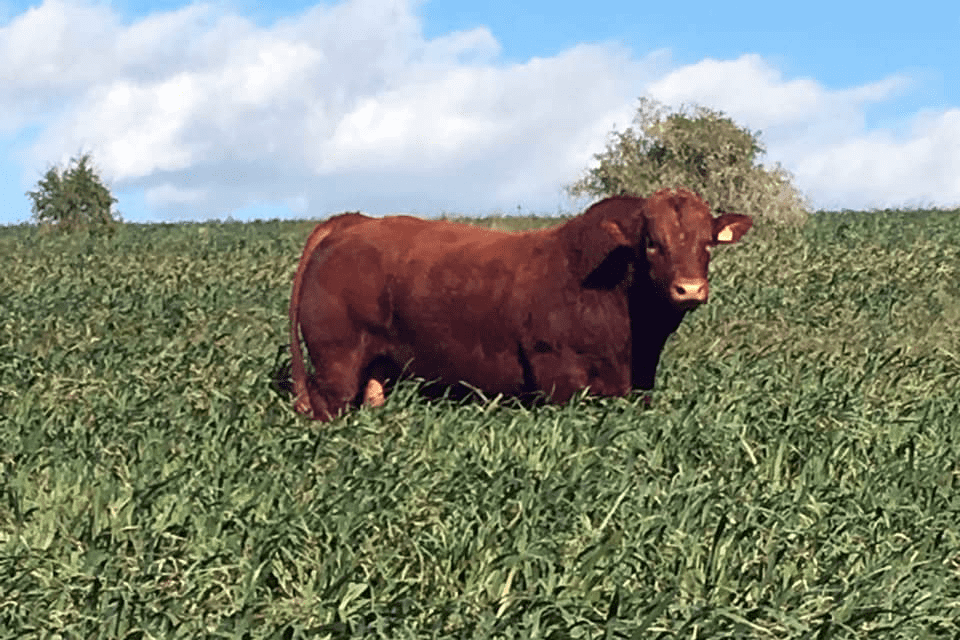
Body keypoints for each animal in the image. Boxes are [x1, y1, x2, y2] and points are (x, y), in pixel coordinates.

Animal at [289, 187, 752, 421]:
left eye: (707, 242)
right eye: (652, 243)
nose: (689, 289)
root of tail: (352, 222)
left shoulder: (639, 383)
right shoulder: (560, 376)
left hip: (376, 364)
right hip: (336, 359)